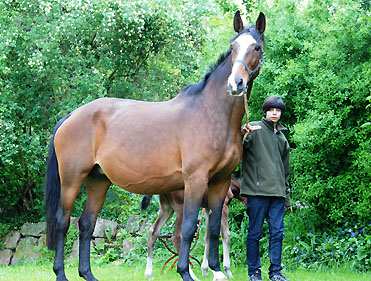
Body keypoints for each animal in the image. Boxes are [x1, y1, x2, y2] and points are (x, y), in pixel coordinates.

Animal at [45, 10, 266, 280]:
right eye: (233, 47)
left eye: (256, 47)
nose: (236, 84)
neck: (211, 114)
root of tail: (71, 116)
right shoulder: (195, 180)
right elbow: (188, 229)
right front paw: (185, 272)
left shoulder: (220, 181)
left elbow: (213, 229)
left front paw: (216, 270)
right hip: (72, 179)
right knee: (63, 222)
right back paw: (61, 273)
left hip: (98, 181)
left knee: (86, 223)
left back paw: (88, 274)